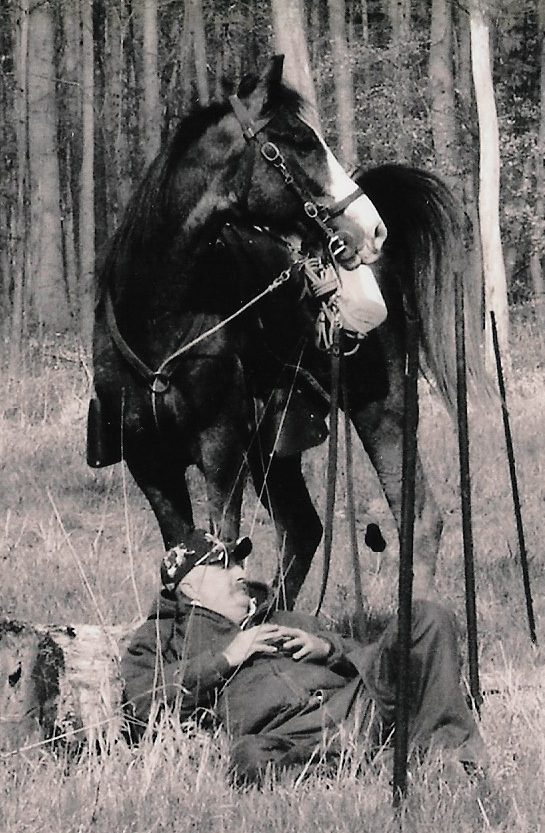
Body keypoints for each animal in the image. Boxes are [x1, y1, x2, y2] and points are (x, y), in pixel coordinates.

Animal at [89, 56, 387, 603]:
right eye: (300, 140)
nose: (371, 229)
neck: (160, 314)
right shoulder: (150, 462)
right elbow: (181, 554)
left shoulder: (221, 452)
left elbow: (221, 549)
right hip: (276, 454)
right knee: (303, 530)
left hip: (380, 418)